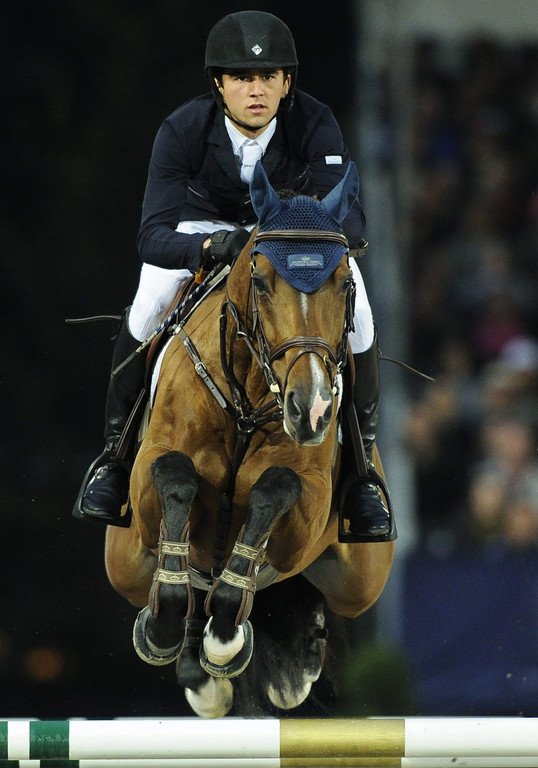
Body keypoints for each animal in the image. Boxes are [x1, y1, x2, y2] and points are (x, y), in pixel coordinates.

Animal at [104, 161, 395, 717]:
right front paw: (166, 627)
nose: (313, 410)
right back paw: (200, 663)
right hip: (125, 559)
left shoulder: (308, 500)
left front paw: (225, 638)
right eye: (260, 282)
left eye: (345, 283)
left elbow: (276, 489)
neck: (248, 395)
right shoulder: (155, 468)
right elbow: (174, 476)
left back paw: (292, 655)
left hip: (360, 580)